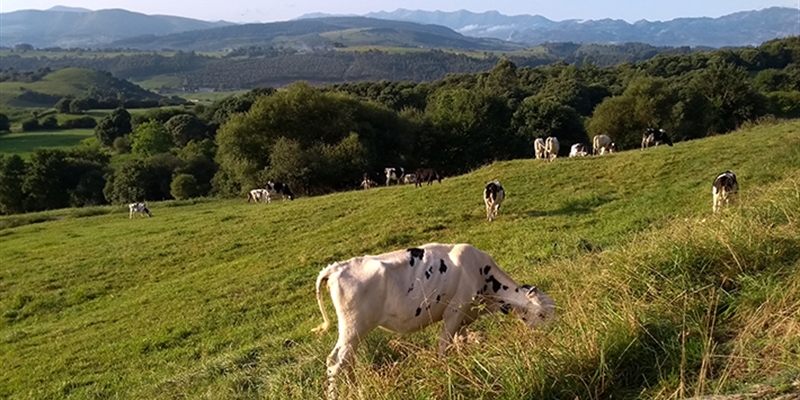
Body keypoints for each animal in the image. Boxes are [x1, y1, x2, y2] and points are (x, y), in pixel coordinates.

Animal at [312, 242, 556, 398]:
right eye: (542, 314)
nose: (552, 337)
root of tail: (336, 267)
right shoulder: (454, 313)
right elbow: (443, 346)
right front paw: (444, 371)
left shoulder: (462, 319)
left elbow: (460, 343)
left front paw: (465, 364)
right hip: (353, 327)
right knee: (335, 362)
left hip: (356, 332)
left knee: (347, 361)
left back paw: (356, 390)